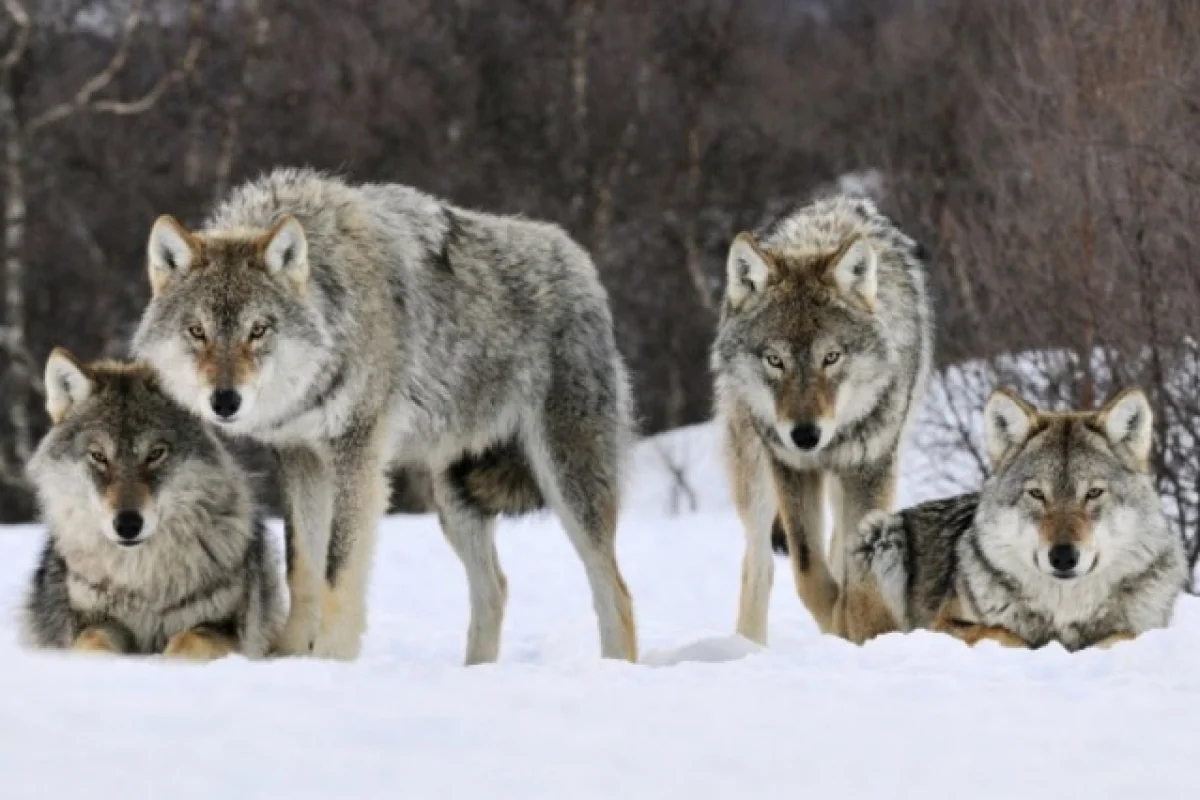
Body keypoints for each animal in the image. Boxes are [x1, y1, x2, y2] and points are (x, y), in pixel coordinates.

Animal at [21, 347, 283, 657]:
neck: (141, 581)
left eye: (155, 453)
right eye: (98, 456)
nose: (127, 524)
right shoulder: (93, 621)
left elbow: (188, 642)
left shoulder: (223, 628)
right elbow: (93, 643)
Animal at [131, 167, 638, 662]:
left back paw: (615, 667)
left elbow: (338, 571)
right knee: (495, 588)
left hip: (567, 483)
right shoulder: (300, 457)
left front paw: (331, 660)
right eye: (197, 331)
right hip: (454, 499)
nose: (225, 401)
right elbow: (302, 568)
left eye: (258, 330)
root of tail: (580, 261)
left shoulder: (357, 455)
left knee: (615, 591)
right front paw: (290, 656)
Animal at [710, 196, 936, 647]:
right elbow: (809, 571)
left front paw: (858, 629)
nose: (805, 435)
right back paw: (748, 646)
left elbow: (855, 574)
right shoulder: (791, 468)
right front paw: (837, 623)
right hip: (755, 475)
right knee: (759, 564)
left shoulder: (870, 467)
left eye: (831, 358)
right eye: (774, 360)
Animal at [859, 383, 1185, 652]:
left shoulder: (1143, 628)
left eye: (1093, 493)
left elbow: (1123, 636)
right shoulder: (942, 625)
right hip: (882, 535)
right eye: (1037, 494)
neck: (1064, 612)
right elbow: (1004, 633)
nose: (1063, 556)